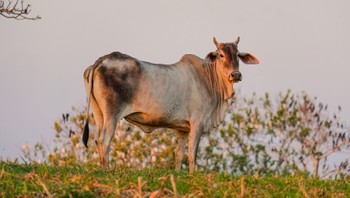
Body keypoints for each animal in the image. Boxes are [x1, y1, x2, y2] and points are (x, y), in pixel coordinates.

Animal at [81, 36, 258, 172]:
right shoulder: (198, 122)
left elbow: (179, 154)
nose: (235, 75)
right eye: (221, 55)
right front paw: (193, 174)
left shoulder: (182, 128)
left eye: (237, 55)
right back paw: (107, 170)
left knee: (97, 140)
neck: (210, 79)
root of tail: (101, 60)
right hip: (112, 114)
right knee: (104, 141)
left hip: (99, 114)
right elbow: (192, 153)